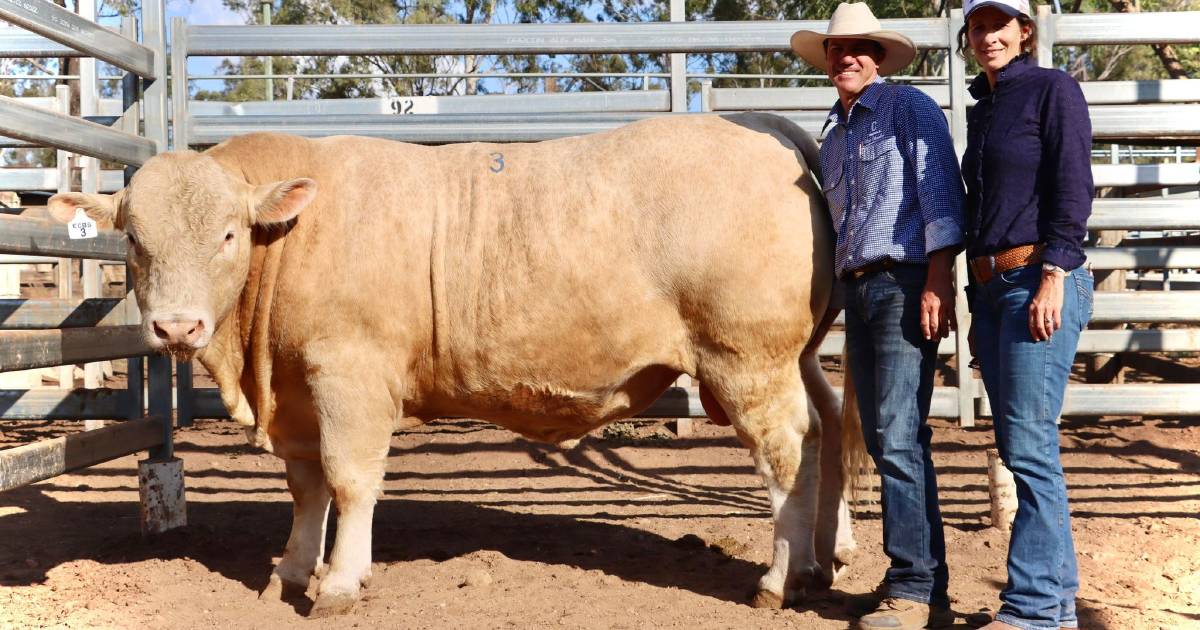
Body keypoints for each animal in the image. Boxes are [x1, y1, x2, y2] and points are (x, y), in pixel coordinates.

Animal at [54, 112, 864, 614]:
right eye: (133, 240)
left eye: (227, 234)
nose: (176, 327)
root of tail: (765, 126)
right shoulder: (296, 389)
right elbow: (307, 487)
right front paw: (288, 570)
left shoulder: (350, 375)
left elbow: (349, 480)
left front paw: (340, 580)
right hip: (797, 356)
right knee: (828, 426)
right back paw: (824, 559)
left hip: (748, 358)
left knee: (788, 450)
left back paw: (780, 578)